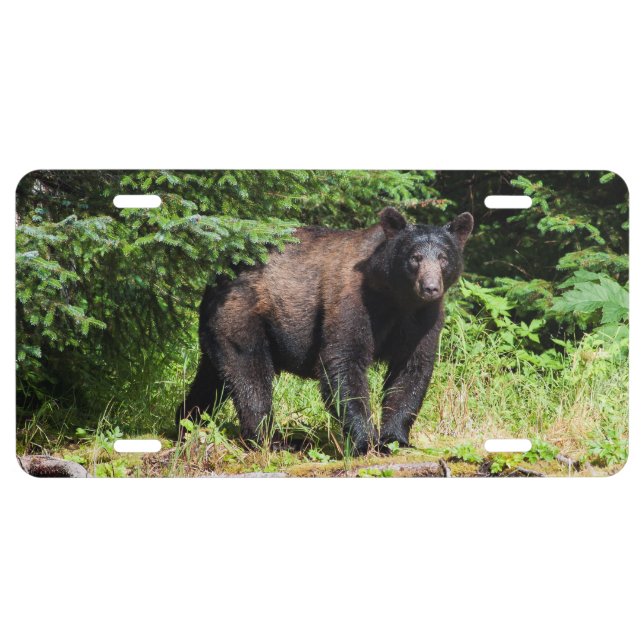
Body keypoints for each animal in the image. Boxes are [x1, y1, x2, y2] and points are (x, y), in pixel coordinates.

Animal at [176, 207, 474, 454]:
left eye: (444, 258)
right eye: (415, 257)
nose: (430, 287)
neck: (397, 298)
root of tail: (217, 275)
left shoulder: (423, 319)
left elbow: (411, 370)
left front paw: (395, 439)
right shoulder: (353, 300)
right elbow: (344, 360)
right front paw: (365, 442)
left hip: (220, 328)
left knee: (213, 377)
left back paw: (186, 421)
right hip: (242, 314)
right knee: (249, 374)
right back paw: (272, 440)